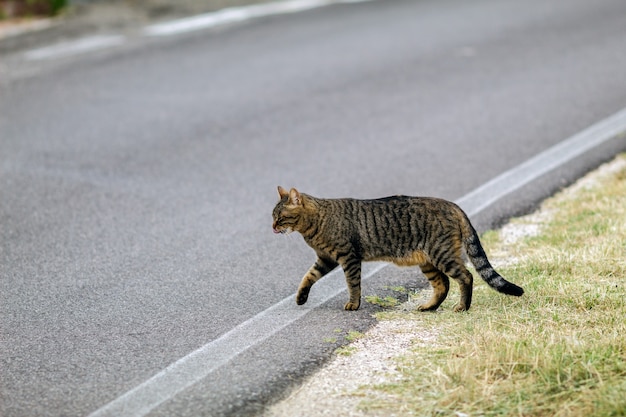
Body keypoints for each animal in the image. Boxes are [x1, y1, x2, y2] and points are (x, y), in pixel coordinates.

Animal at [272, 187, 520, 310]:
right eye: (273, 216)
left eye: (280, 217)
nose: (272, 227)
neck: (314, 225)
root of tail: (452, 204)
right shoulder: (326, 259)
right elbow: (308, 276)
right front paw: (301, 298)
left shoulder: (347, 257)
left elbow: (353, 284)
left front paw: (354, 304)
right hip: (427, 261)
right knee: (443, 284)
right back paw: (429, 307)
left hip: (442, 255)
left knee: (466, 276)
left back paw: (463, 307)